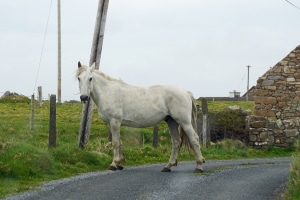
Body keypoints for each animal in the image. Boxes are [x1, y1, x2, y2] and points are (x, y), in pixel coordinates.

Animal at [76, 61, 205, 173]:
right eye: (79, 78)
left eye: (90, 78)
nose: (84, 97)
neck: (108, 92)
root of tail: (186, 92)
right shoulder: (111, 123)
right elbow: (119, 142)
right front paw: (120, 164)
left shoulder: (115, 122)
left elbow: (115, 142)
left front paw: (114, 164)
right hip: (171, 121)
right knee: (176, 142)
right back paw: (168, 166)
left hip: (184, 122)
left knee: (194, 139)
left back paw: (199, 166)